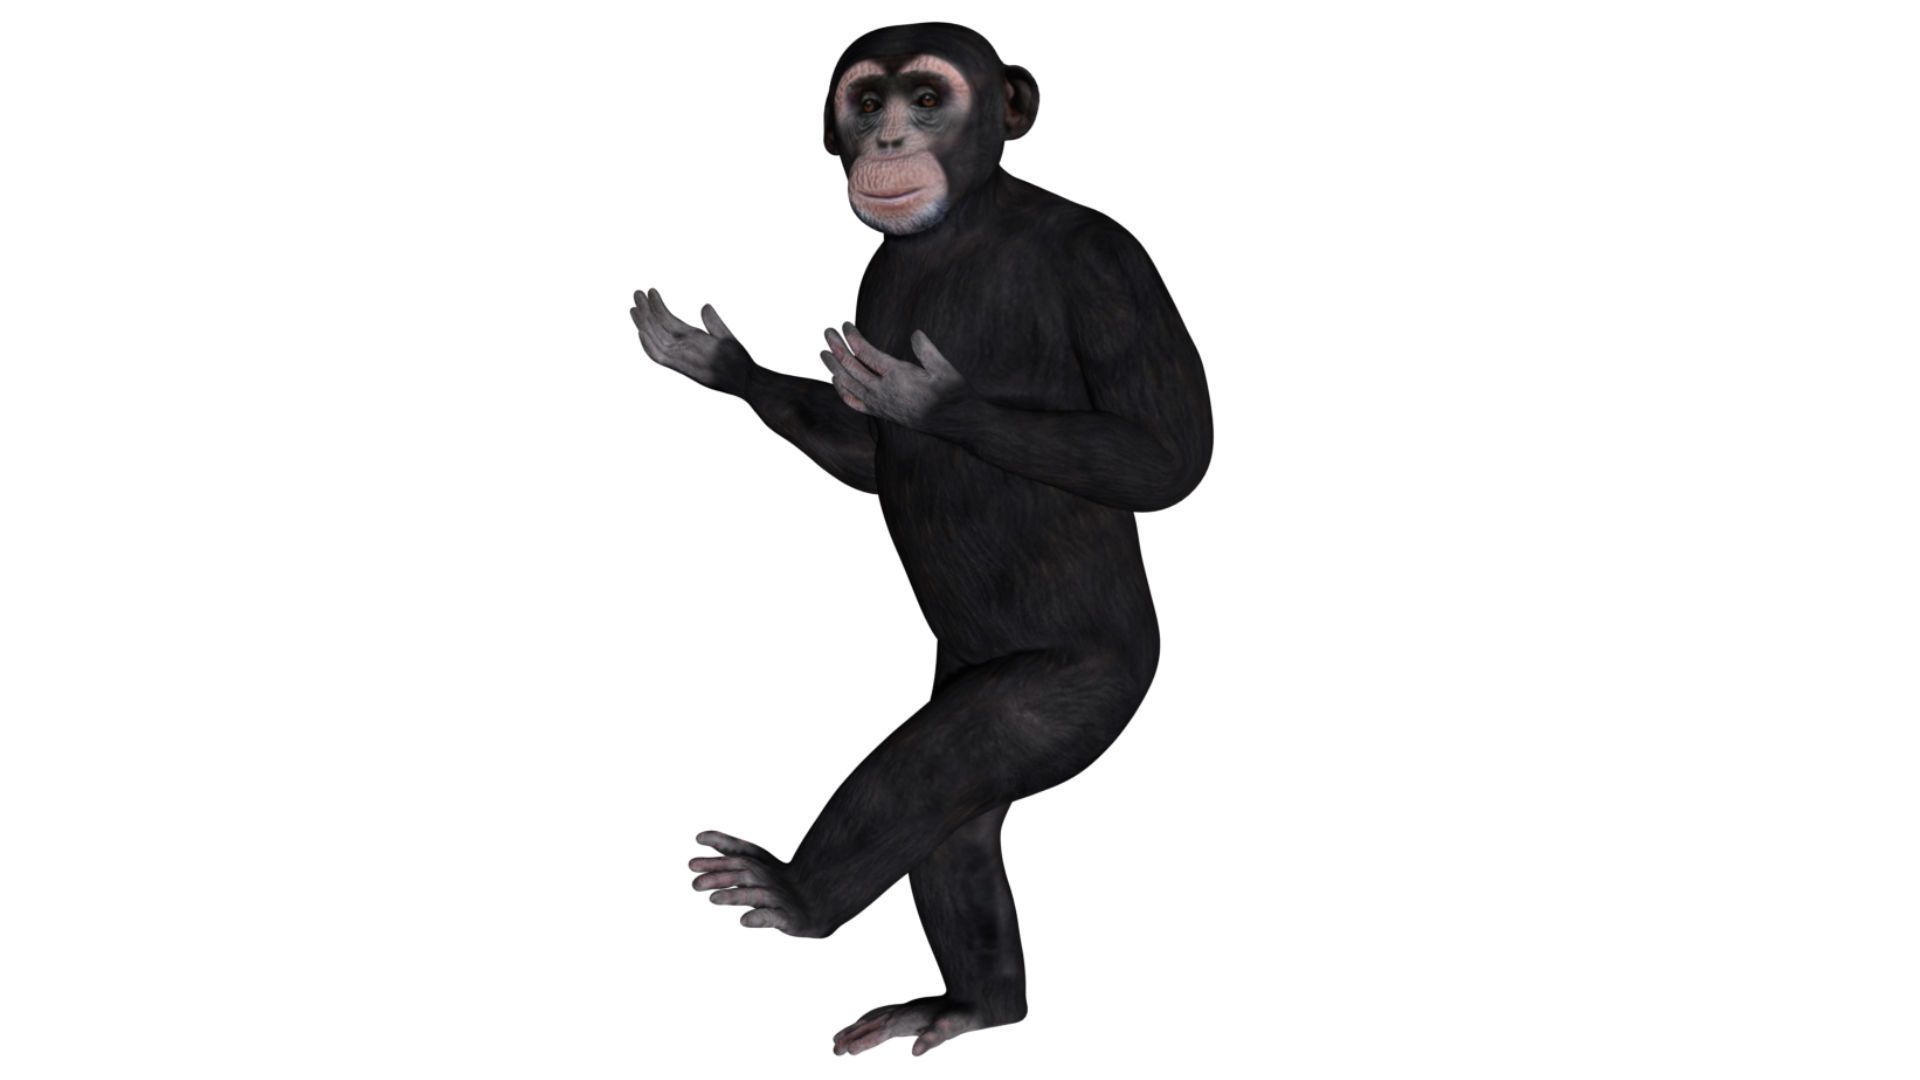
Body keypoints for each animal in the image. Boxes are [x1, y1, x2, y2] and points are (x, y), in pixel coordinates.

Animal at [630, 23, 1211, 1056]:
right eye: (867, 102)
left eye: (929, 100)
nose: (891, 138)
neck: (965, 226)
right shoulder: (875, 279)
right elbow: (870, 457)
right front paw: (725, 364)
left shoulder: (1114, 264)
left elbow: (1173, 454)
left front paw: (932, 399)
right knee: (961, 832)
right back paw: (977, 1003)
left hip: (1087, 683)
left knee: (950, 759)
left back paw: (798, 896)